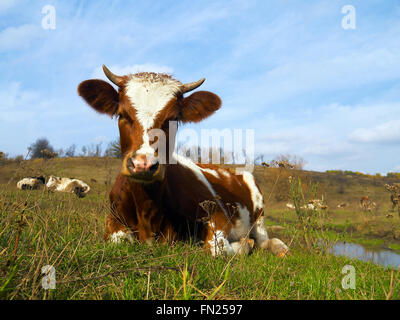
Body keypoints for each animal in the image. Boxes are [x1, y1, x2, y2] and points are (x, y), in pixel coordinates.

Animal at [76, 65, 290, 258]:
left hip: (259, 213)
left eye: (172, 119)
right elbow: (118, 240)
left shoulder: (218, 213)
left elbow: (217, 249)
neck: (147, 207)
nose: (143, 165)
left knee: (265, 240)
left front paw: (244, 245)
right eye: (122, 114)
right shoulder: (114, 218)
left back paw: (278, 248)